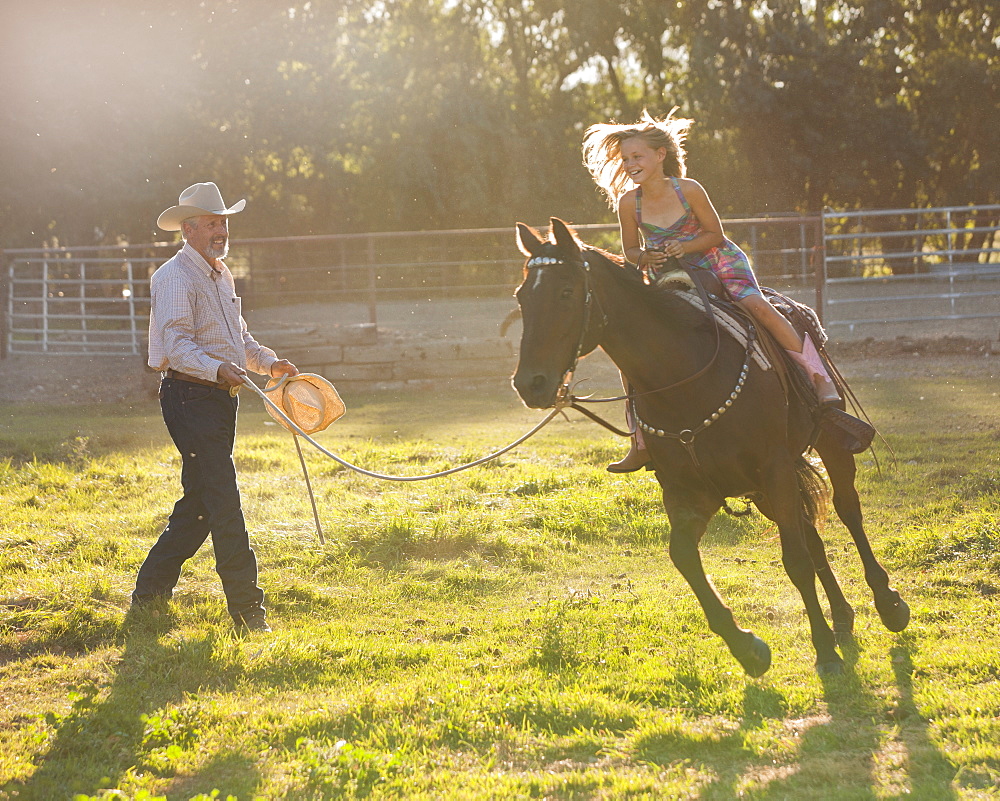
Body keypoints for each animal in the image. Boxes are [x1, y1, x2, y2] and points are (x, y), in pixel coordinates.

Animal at [512, 219, 912, 676]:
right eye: (522, 296)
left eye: (566, 291)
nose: (530, 383)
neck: (684, 376)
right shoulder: (689, 490)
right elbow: (685, 556)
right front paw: (748, 647)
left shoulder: (773, 468)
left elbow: (795, 560)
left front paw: (824, 652)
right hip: (765, 490)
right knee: (810, 534)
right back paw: (843, 617)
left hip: (826, 448)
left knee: (847, 510)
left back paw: (889, 604)